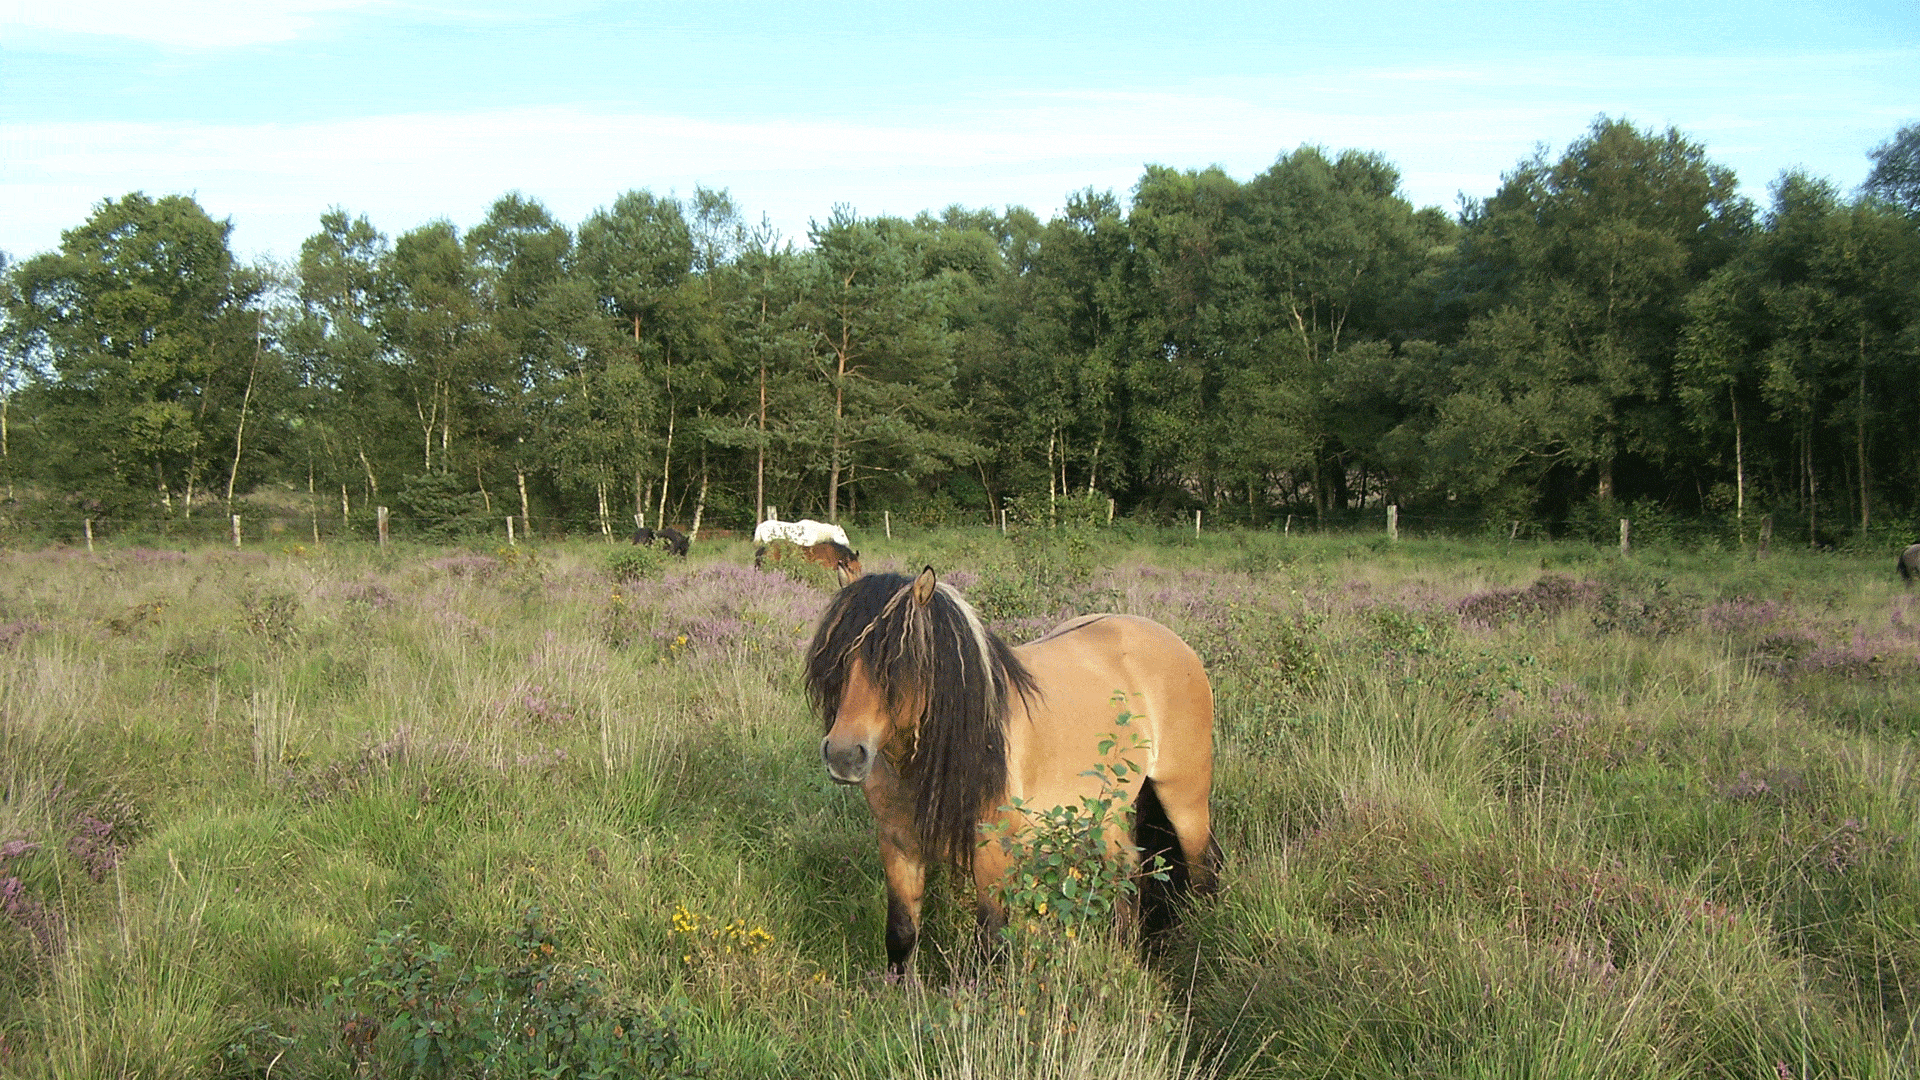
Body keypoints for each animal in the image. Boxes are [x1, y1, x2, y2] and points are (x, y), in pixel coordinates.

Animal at [806, 568, 1213, 972]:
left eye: (897, 663)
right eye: (836, 661)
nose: (843, 755)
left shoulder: (993, 854)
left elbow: (990, 942)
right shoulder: (898, 846)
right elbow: (901, 933)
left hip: (1184, 800)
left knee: (1201, 871)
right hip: (1109, 809)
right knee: (1125, 871)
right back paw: (1126, 949)